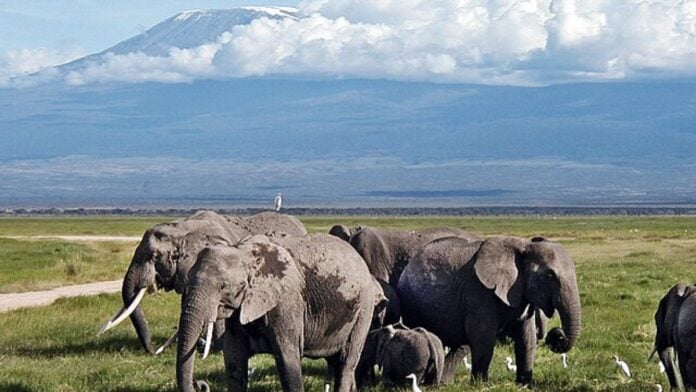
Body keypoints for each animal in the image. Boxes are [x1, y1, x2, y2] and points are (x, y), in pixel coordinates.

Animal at [174, 233, 380, 392]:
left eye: (223, 286)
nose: (200, 384)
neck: (244, 252)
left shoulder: (286, 303)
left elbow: (287, 362)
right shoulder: (239, 310)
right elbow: (234, 361)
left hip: (364, 309)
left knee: (346, 362)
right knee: (338, 364)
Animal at [396, 234, 580, 384]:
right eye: (549, 275)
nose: (557, 335)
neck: (523, 246)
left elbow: (526, 338)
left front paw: (524, 384)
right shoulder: (478, 292)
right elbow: (483, 339)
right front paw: (480, 384)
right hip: (410, 301)